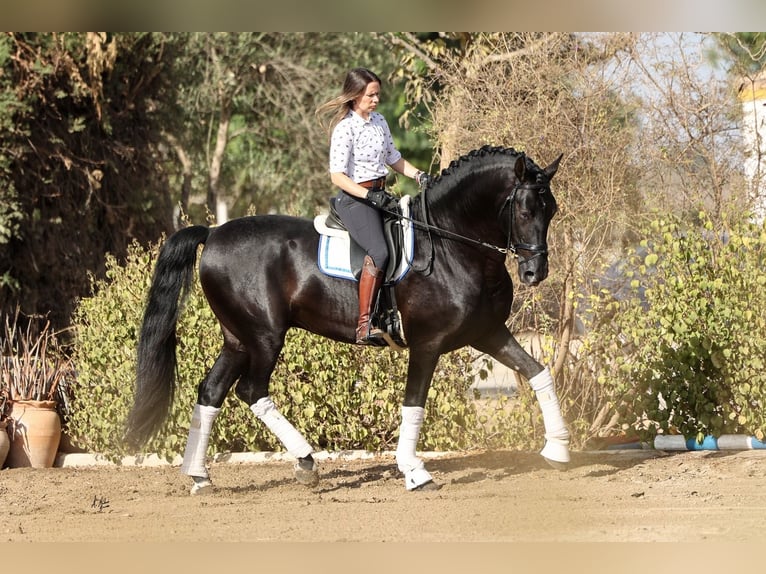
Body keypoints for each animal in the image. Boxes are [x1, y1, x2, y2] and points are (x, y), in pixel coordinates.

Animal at [124, 145, 568, 494]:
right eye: (525, 209)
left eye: (552, 210)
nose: (535, 272)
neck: (449, 244)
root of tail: (213, 233)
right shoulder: (427, 345)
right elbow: (414, 405)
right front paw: (414, 472)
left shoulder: (489, 332)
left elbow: (539, 372)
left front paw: (558, 449)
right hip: (264, 336)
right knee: (251, 390)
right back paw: (305, 461)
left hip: (238, 338)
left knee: (211, 391)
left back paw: (199, 475)